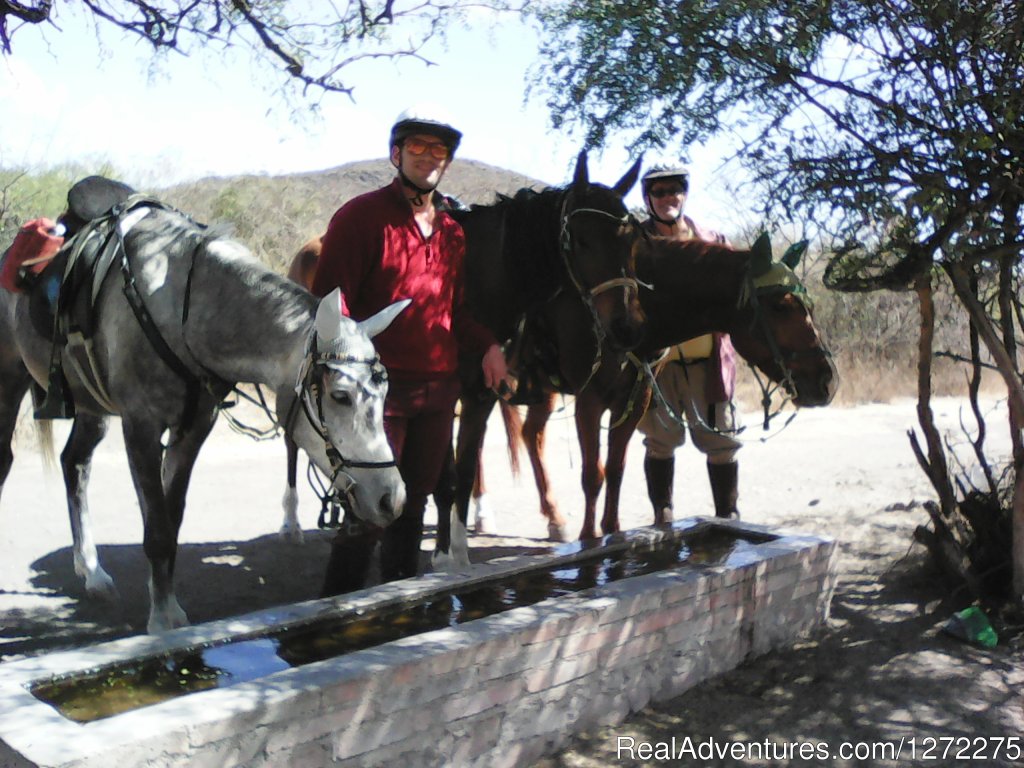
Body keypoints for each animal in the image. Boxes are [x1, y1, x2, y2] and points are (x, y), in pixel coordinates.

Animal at [0, 201, 405, 634]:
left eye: (385, 392)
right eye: (340, 395)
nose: (392, 498)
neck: (183, 307)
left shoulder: (194, 428)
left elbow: (169, 520)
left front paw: (163, 598)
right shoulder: (141, 426)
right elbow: (157, 528)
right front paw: (163, 619)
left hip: (92, 407)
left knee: (74, 464)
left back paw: (91, 571)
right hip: (11, 380)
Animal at [497, 234, 839, 540]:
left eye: (809, 305)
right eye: (781, 306)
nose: (827, 381)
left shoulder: (635, 400)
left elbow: (615, 469)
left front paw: (612, 532)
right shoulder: (590, 401)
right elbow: (593, 474)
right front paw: (588, 538)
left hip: (543, 391)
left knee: (530, 435)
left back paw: (553, 517)